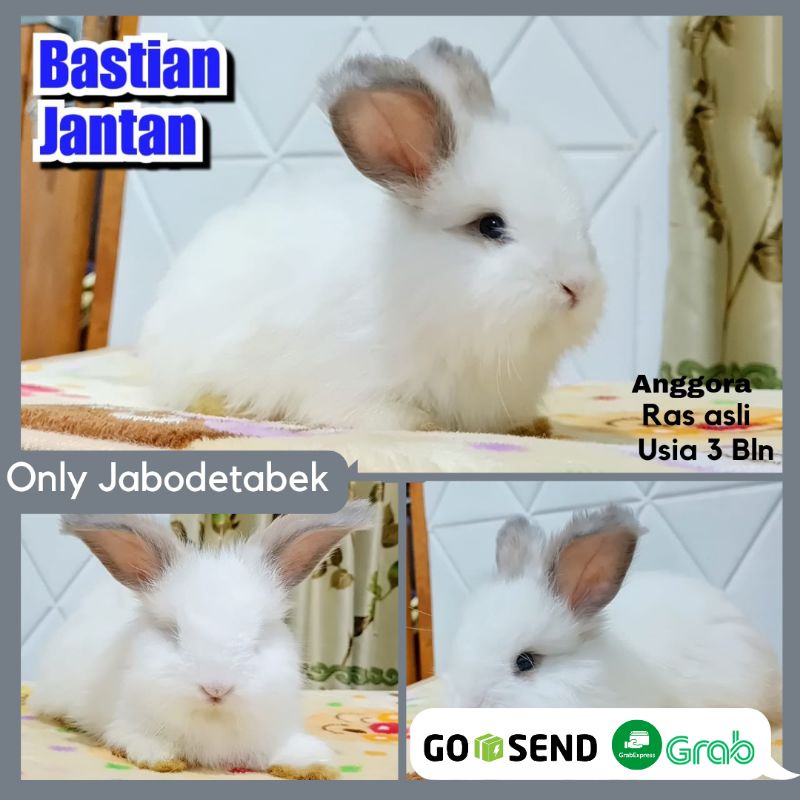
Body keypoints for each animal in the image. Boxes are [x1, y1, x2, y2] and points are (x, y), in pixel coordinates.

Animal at [30, 504, 373, 777]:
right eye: (173, 632)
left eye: (259, 634)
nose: (216, 689)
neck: (213, 721)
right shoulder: (127, 725)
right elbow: (140, 742)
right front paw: (162, 759)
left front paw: (314, 764)